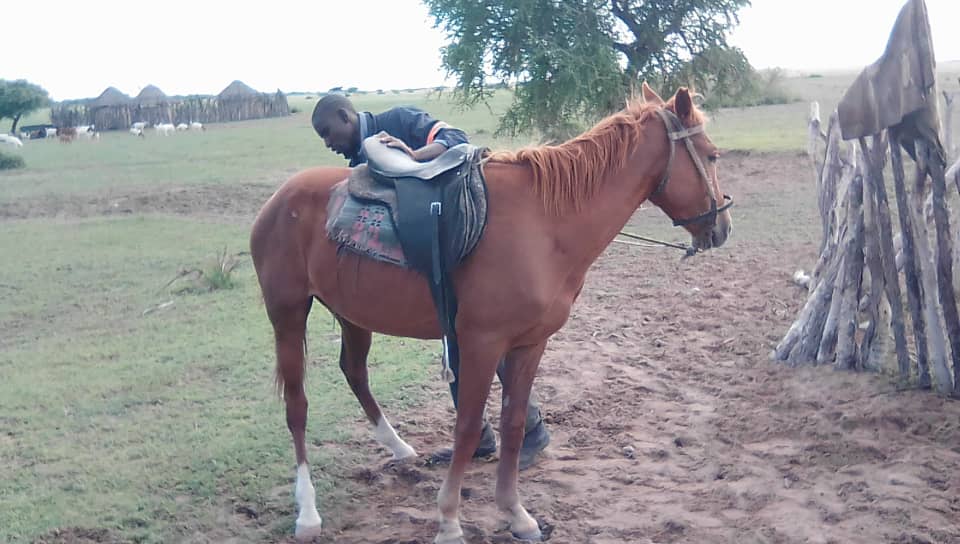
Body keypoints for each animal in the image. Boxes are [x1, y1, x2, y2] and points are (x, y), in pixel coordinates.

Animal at [249, 83, 733, 543]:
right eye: (711, 155)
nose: (723, 225)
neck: (546, 224)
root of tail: (278, 201)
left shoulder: (530, 344)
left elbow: (514, 424)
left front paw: (516, 514)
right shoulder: (481, 342)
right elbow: (466, 426)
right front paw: (448, 521)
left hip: (352, 312)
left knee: (354, 371)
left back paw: (399, 448)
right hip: (288, 313)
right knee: (297, 406)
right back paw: (308, 512)